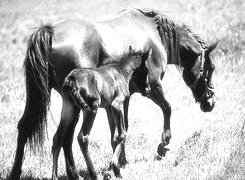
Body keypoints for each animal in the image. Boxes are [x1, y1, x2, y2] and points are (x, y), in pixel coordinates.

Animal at [62, 46, 151, 179]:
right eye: (147, 69)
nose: (148, 89)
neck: (121, 72)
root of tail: (72, 79)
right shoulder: (116, 104)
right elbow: (122, 134)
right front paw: (116, 168)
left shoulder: (108, 108)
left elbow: (113, 137)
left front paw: (111, 168)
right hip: (91, 108)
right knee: (83, 137)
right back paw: (93, 174)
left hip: (72, 109)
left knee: (66, 137)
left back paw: (74, 174)